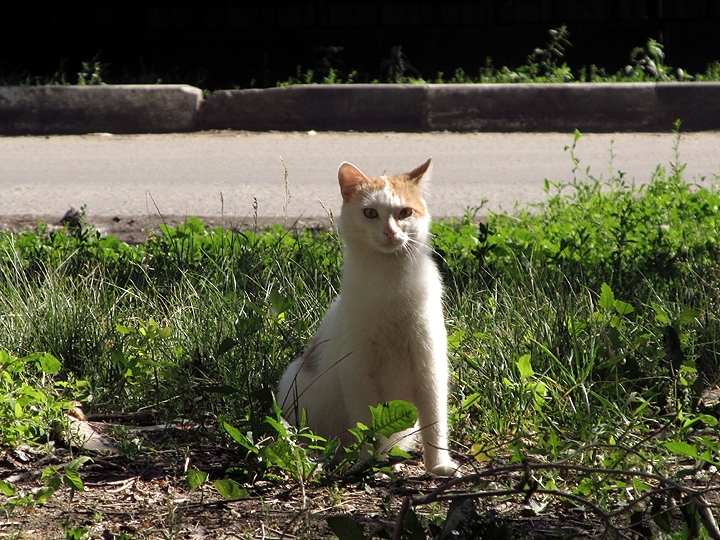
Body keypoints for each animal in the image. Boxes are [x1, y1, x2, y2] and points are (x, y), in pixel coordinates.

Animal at [278, 158, 458, 474]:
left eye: (405, 212)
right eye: (370, 213)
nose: (390, 232)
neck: (390, 282)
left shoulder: (430, 367)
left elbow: (435, 420)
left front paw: (438, 466)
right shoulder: (358, 372)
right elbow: (366, 422)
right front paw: (368, 462)